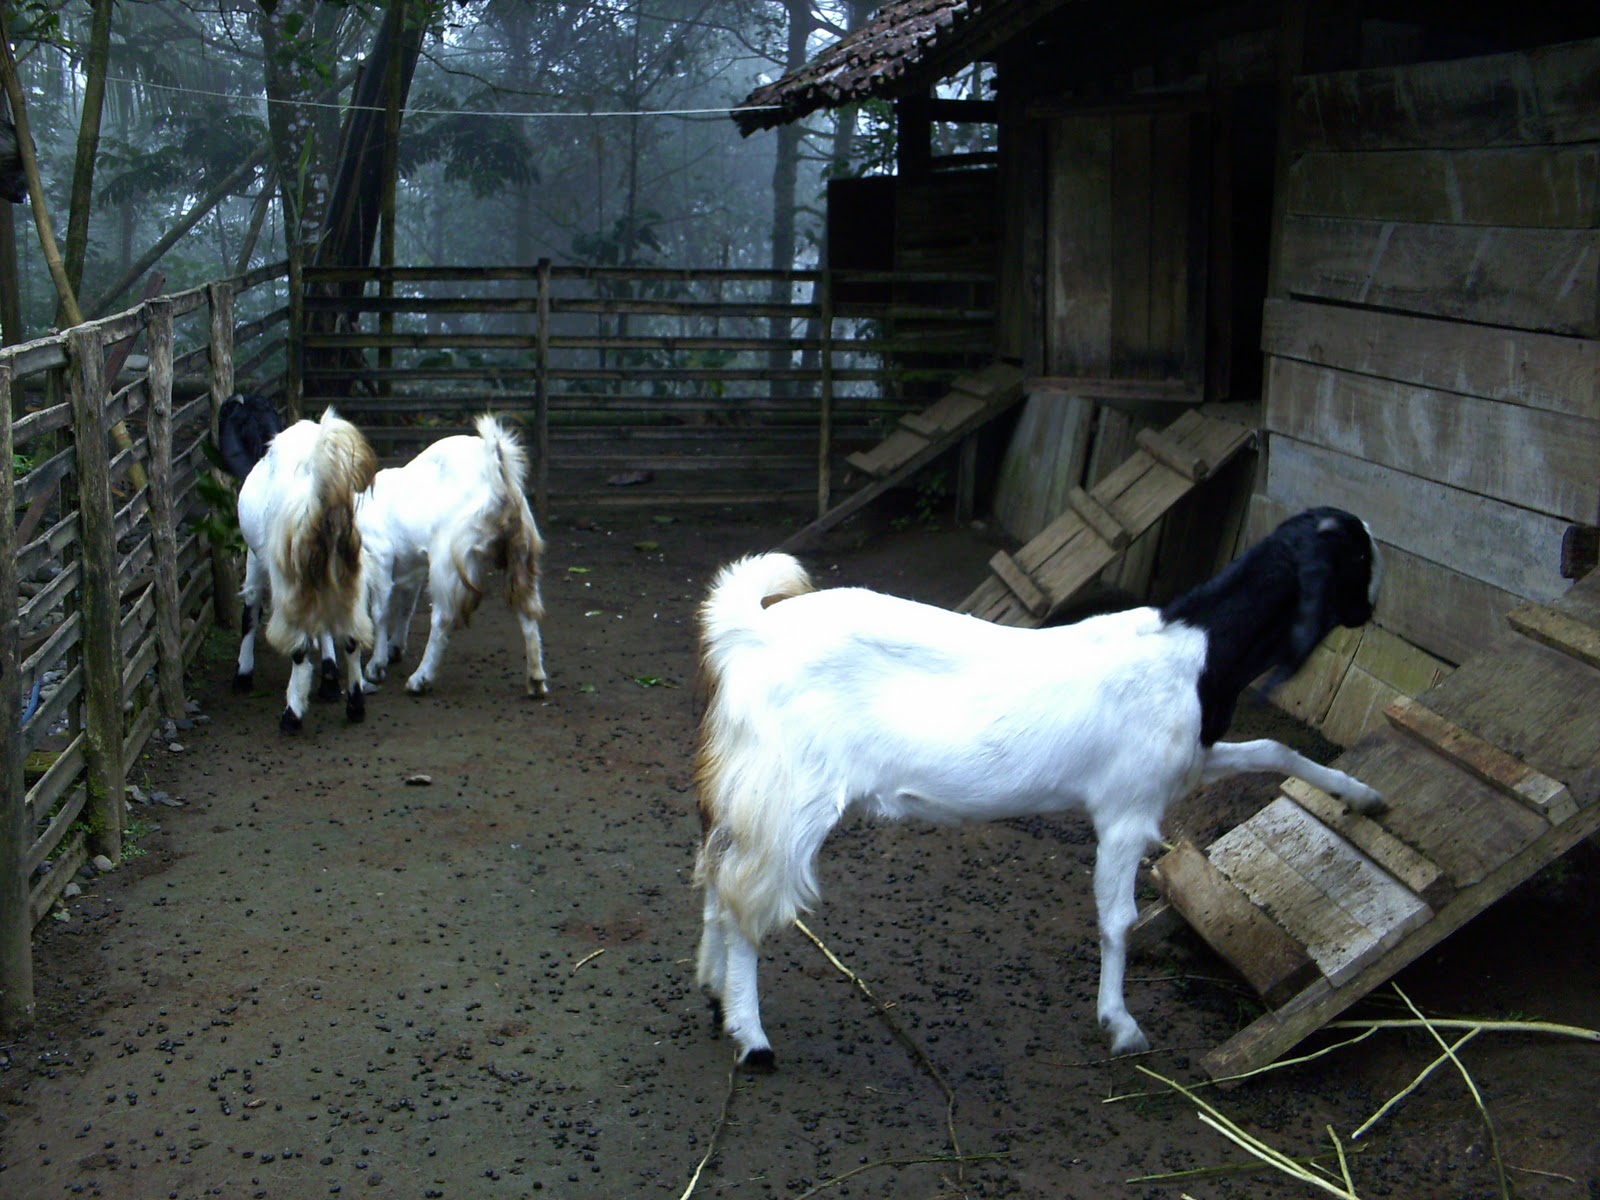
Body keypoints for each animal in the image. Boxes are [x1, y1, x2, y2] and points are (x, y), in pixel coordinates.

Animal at [233, 407, 378, 732]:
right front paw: (329, 678)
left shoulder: (256, 559)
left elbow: (249, 612)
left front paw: (243, 674)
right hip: (349, 571)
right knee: (351, 636)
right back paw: (355, 705)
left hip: (288, 576)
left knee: (298, 647)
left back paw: (292, 715)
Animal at [356, 414, 548, 699]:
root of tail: (497, 478)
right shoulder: (411, 569)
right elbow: (405, 609)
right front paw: (395, 648)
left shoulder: (380, 556)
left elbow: (381, 611)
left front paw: (376, 665)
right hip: (520, 554)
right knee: (527, 610)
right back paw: (536, 680)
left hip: (447, 558)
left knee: (443, 617)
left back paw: (420, 679)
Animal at [692, 506, 1385, 1068]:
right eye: (1356, 556)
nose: (1373, 611)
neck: (1198, 651)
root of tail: (750, 632)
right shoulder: (1126, 810)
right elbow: (1118, 920)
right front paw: (1121, 1024)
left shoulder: (1187, 764)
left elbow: (1274, 749)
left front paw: (1362, 797)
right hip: (791, 794)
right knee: (745, 898)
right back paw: (751, 1035)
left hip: (747, 792)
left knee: (716, 879)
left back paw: (714, 993)